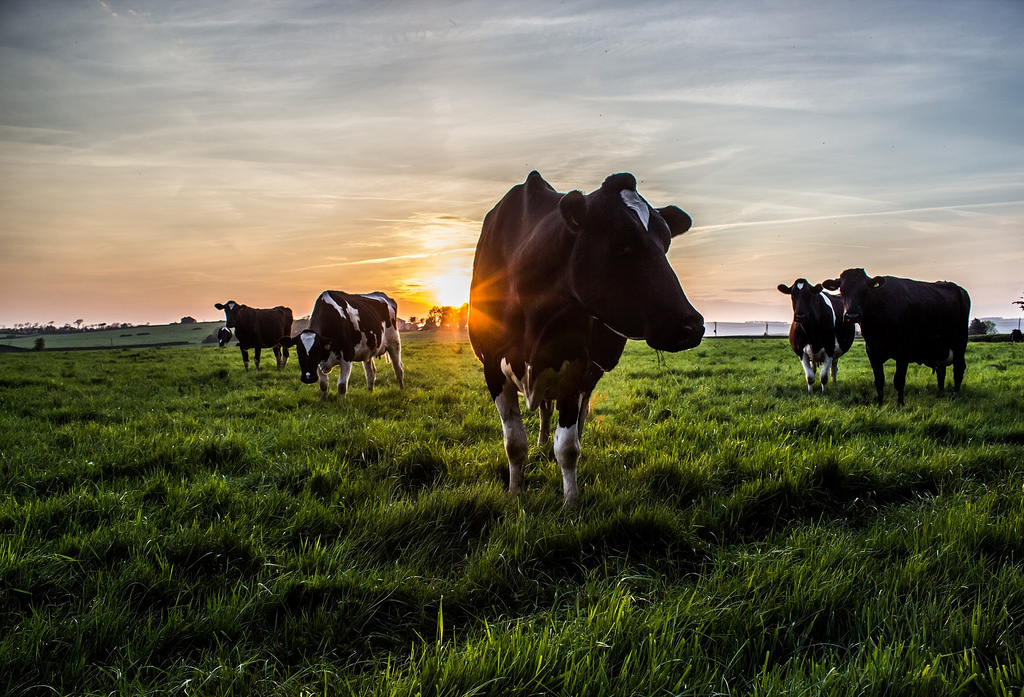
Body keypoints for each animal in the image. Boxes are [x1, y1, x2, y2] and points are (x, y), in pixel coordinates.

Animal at [468, 168, 704, 505]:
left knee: (577, 418)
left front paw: (571, 503)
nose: (692, 325)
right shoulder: (492, 365)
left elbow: (568, 447)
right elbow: (514, 442)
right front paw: (516, 493)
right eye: (621, 241)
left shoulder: (577, 369)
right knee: (544, 410)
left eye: (666, 243)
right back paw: (541, 442)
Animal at [819, 268, 970, 407]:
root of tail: (958, 288)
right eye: (842, 290)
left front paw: (900, 404)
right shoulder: (872, 351)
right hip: (941, 347)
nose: (852, 316)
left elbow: (899, 380)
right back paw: (940, 392)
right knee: (941, 370)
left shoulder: (903, 352)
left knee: (959, 368)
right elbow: (879, 380)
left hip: (960, 343)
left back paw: (955, 395)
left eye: (865, 290)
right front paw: (880, 403)